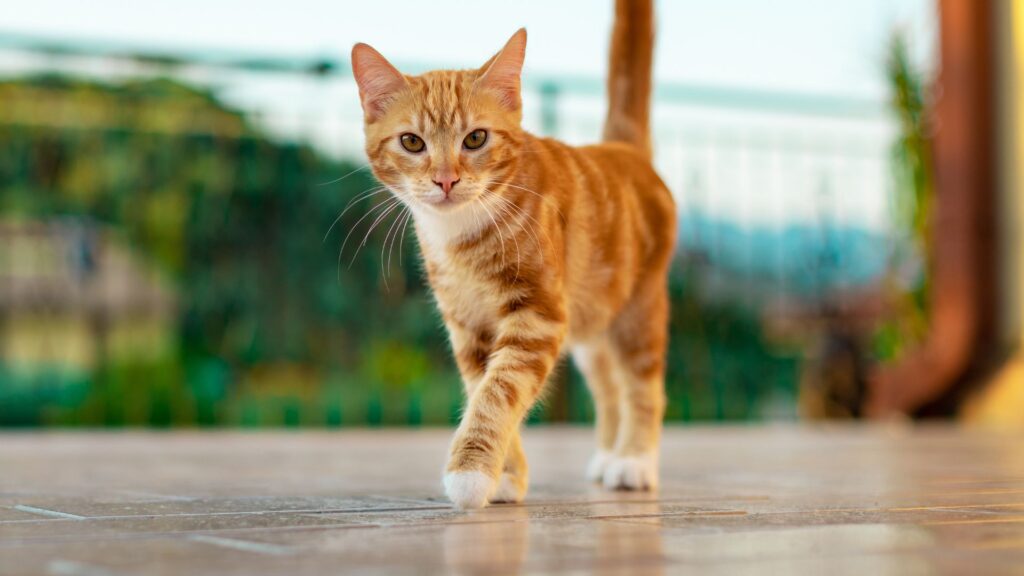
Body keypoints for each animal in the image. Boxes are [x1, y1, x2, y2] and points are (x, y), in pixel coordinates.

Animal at [352, 0, 671, 506]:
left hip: (636, 311)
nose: (446, 180)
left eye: (476, 139)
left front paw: (471, 471)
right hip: (591, 321)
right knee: (607, 385)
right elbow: (482, 385)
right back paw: (607, 454)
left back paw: (633, 460)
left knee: (641, 384)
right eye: (412, 142)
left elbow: (500, 390)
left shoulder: (538, 317)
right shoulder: (468, 327)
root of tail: (624, 149)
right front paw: (506, 474)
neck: (462, 238)